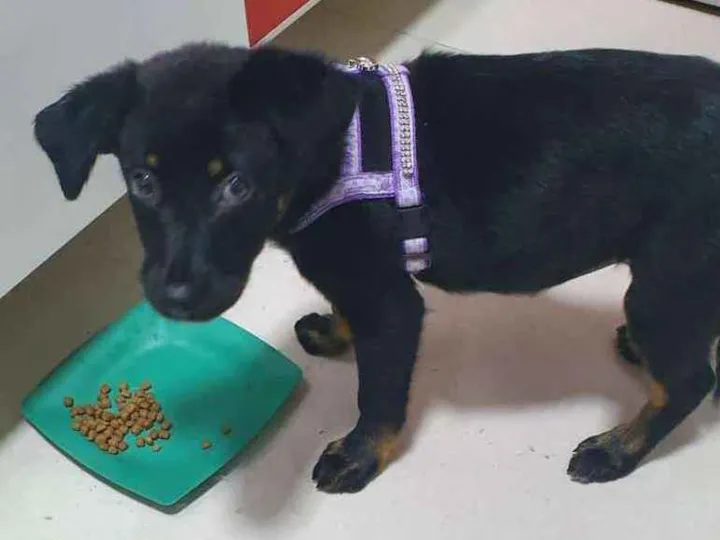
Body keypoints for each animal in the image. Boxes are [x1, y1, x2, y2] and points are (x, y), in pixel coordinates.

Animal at [34, 43, 720, 493]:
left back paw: (617, 449)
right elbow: (345, 314)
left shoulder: (390, 303)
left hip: (666, 279)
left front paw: (360, 456)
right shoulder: (355, 281)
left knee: (691, 382)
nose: (174, 299)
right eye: (142, 181)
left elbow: (379, 393)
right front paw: (333, 333)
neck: (326, 157)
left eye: (236, 185)